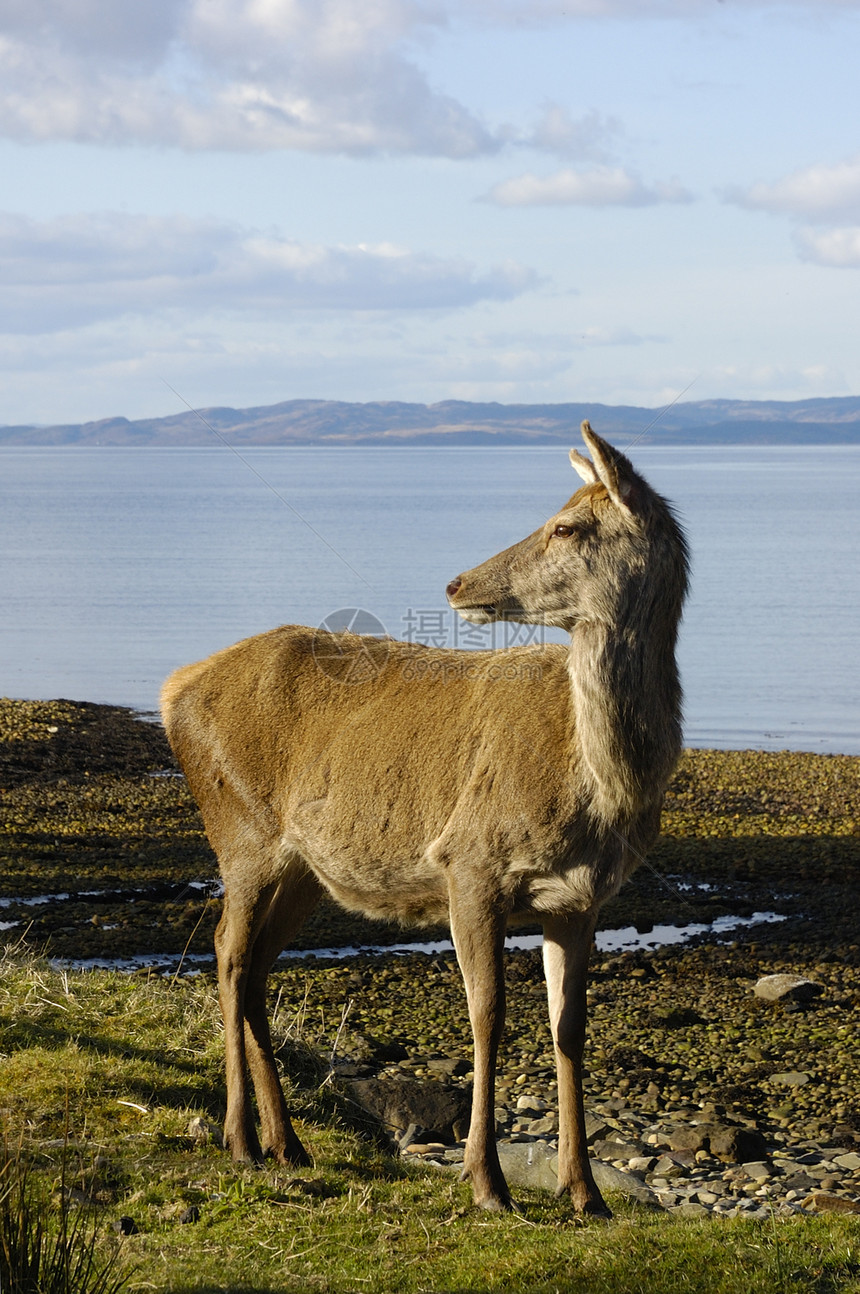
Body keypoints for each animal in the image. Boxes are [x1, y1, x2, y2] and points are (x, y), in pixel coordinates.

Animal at [159, 419, 682, 1216]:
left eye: (567, 525)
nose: (458, 582)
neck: (596, 789)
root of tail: (171, 689)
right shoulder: (469, 863)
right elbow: (488, 1014)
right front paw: (488, 1183)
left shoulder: (581, 899)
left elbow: (570, 1028)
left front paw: (585, 1193)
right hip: (240, 830)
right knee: (227, 952)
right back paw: (242, 1140)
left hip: (305, 869)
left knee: (255, 965)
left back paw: (289, 1143)